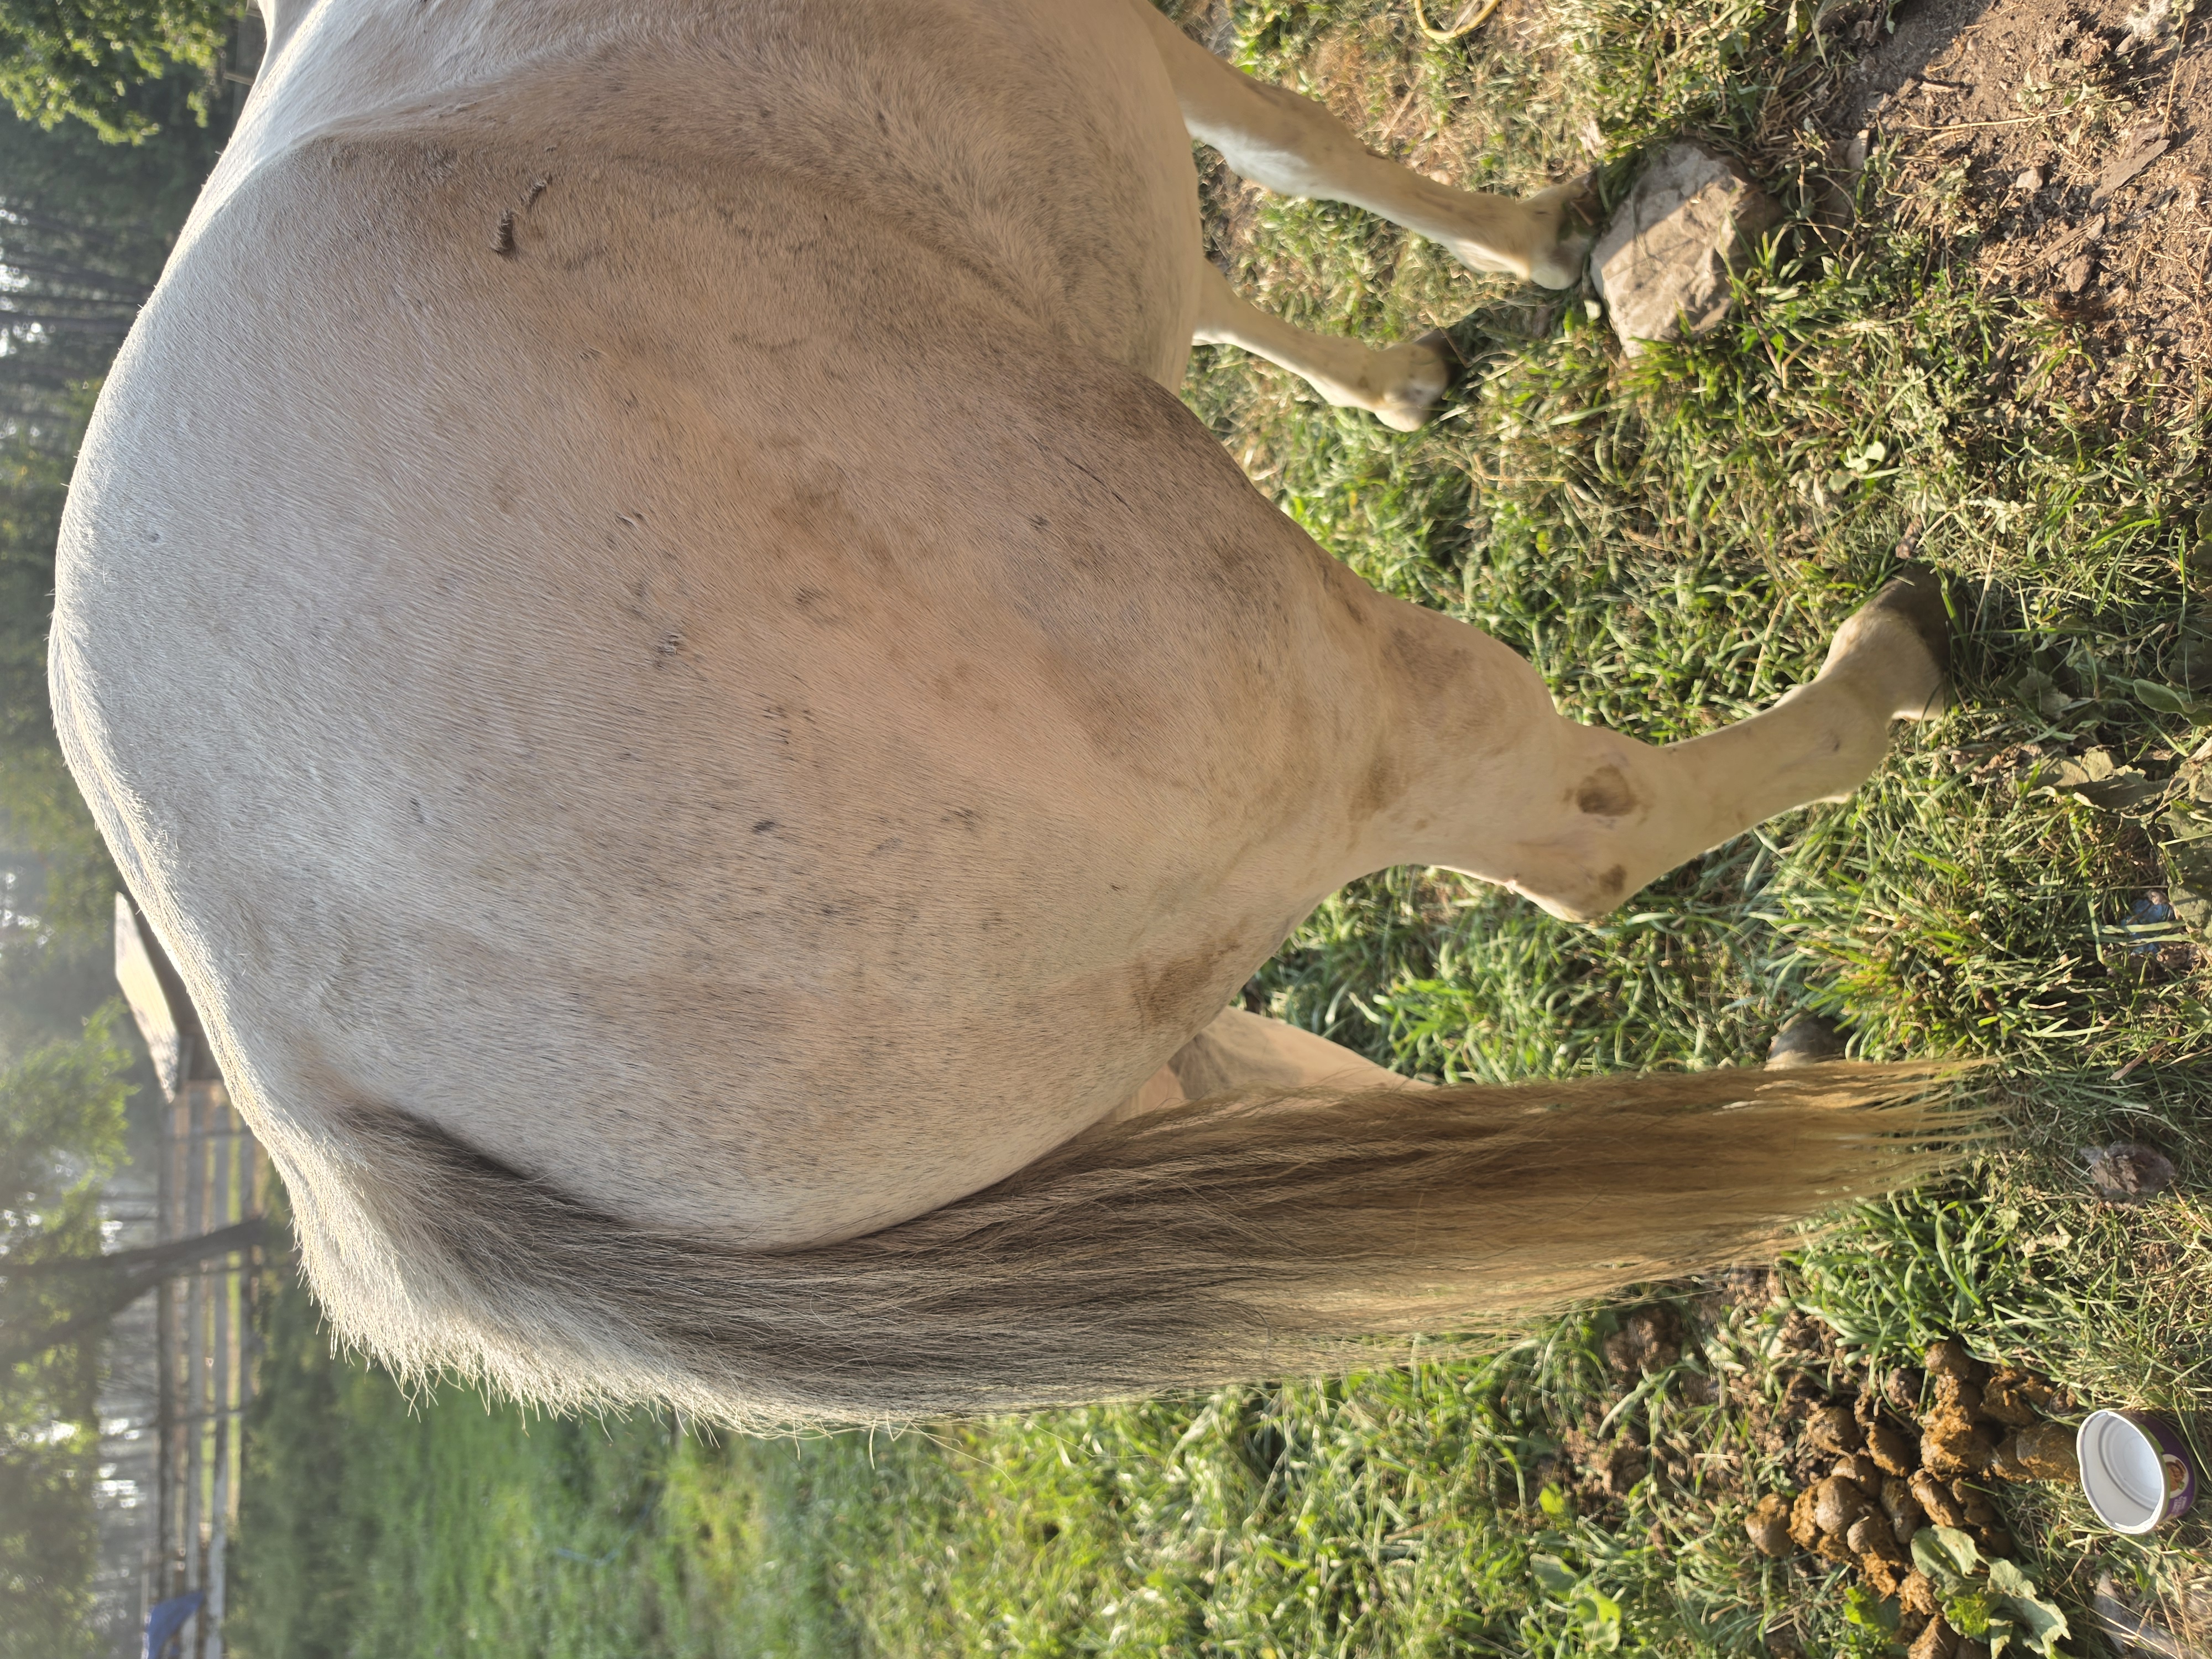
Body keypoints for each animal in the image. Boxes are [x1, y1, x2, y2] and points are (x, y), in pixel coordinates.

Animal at [51, 0, 1956, 1426]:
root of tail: (302, 1084)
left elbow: (1227, 246)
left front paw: (1401, 376)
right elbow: (1286, 139)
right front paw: (1536, 245)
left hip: (1108, 1044)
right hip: (1279, 696)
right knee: (1582, 833)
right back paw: (1886, 680)